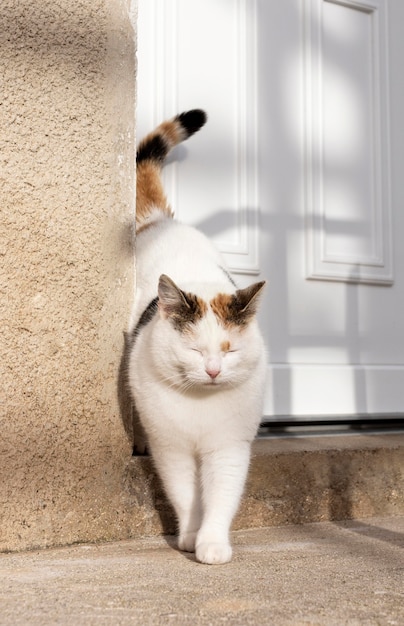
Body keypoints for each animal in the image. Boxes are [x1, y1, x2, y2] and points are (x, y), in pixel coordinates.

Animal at [129, 109, 266, 564]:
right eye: (193, 349)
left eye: (229, 349)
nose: (212, 371)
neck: (200, 407)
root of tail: (161, 222)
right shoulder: (170, 450)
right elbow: (185, 495)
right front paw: (190, 536)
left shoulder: (229, 448)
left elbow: (221, 496)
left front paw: (212, 544)